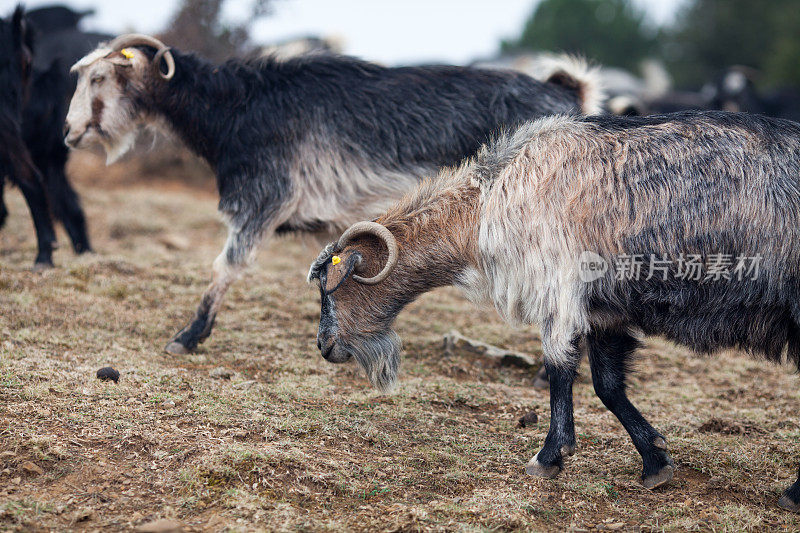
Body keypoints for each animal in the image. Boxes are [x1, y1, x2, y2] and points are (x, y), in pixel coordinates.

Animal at [65, 35, 604, 356]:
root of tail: (569, 92)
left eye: (99, 77)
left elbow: (225, 268)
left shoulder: (264, 198)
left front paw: (187, 336)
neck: (238, 107)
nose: (69, 133)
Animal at [310, 109, 800, 512]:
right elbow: (608, 386)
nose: (324, 345)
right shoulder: (604, 310)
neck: (488, 203)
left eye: (330, 287)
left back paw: (792, 495)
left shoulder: (559, 289)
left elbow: (560, 368)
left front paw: (548, 457)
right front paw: (655, 461)